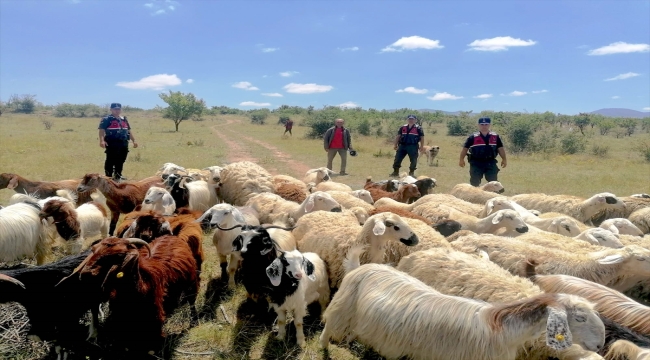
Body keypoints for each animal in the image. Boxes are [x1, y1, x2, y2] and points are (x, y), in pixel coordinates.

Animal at [318, 262, 604, 360]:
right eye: (579, 317)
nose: (601, 344)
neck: (503, 331)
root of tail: (366, 266)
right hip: (341, 310)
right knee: (326, 330)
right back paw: (324, 348)